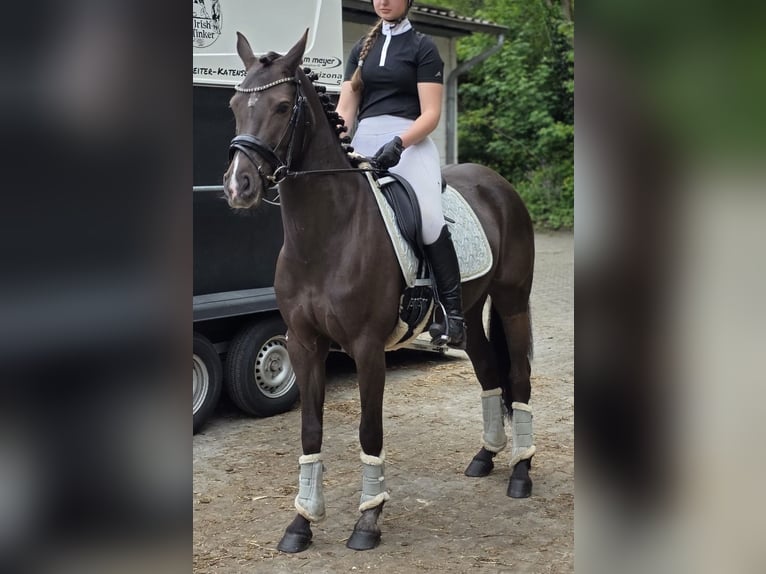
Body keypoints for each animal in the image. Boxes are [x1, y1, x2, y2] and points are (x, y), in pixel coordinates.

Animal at [222, 31, 536, 553]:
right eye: (233, 105)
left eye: (283, 106)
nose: (237, 186)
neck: (326, 237)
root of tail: (496, 183)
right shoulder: (303, 343)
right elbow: (310, 430)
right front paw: (301, 524)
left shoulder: (368, 348)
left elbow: (370, 431)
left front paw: (368, 521)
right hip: (470, 314)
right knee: (490, 372)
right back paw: (485, 458)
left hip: (513, 303)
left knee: (520, 376)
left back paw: (521, 473)